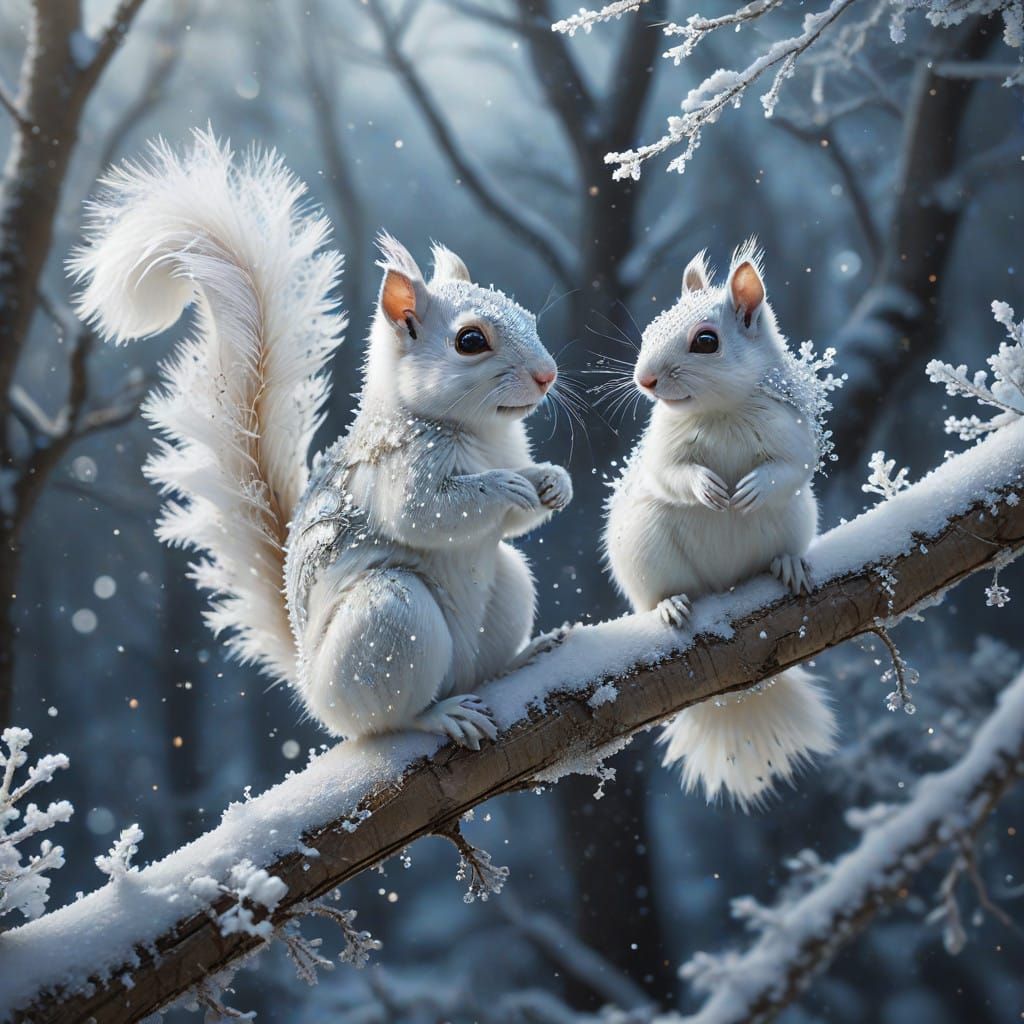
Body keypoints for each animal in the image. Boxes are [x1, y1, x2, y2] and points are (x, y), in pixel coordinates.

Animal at [69, 130, 572, 750]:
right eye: (470, 341)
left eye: (527, 315)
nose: (548, 375)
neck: (477, 433)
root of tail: (312, 687)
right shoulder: (398, 469)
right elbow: (424, 514)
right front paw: (505, 487)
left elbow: (516, 520)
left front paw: (551, 482)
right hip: (389, 619)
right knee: (389, 717)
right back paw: (440, 714)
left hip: (507, 587)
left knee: (486, 662)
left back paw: (527, 655)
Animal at [604, 242, 837, 809]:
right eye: (651, 329)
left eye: (706, 342)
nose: (644, 380)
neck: (721, 411)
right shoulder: (661, 449)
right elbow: (670, 472)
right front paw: (708, 489)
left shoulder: (792, 432)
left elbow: (791, 467)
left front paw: (749, 490)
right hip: (645, 551)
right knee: (658, 593)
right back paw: (671, 604)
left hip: (796, 518)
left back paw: (788, 565)